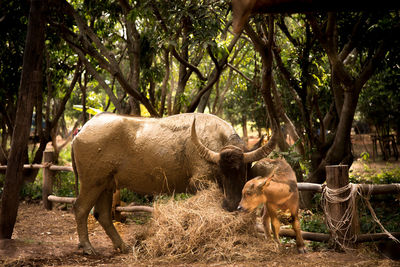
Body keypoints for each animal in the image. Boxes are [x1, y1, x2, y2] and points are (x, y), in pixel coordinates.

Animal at [72, 112, 276, 254]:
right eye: (221, 172)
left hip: (106, 185)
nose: (232, 205)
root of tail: (81, 131)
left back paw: (123, 246)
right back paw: (87, 247)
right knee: (80, 208)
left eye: (242, 171)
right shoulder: (200, 182)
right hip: (92, 183)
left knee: (102, 214)